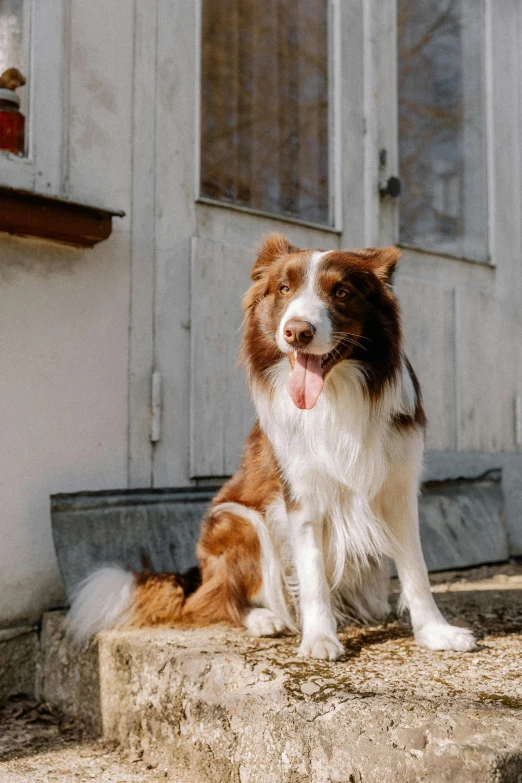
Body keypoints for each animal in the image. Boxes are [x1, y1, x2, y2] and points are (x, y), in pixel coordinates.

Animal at [68, 236, 476, 660]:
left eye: (341, 292)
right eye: (284, 289)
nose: (297, 332)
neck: (336, 395)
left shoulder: (398, 487)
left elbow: (416, 567)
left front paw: (435, 631)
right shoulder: (300, 496)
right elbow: (312, 572)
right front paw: (319, 638)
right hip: (239, 521)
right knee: (213, 599)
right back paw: (263, 618)